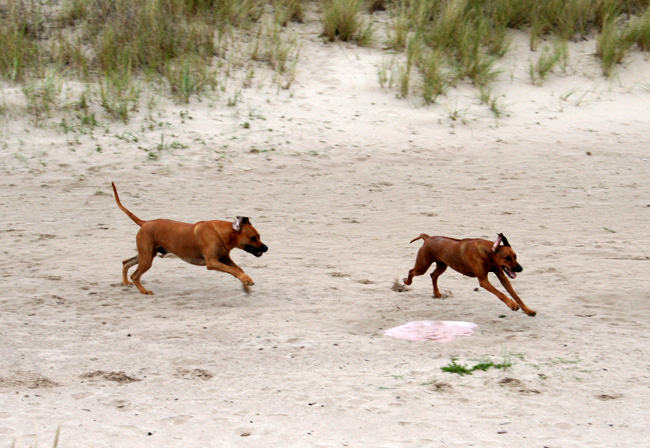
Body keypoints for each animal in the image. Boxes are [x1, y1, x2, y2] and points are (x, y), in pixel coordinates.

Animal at [111, 182, 266, 294]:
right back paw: (144, 291)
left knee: (126, 262)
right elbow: (234, 270)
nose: (266, 248)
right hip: (147, 258)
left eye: (259, 236)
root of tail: (145, 222)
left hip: (146, 254)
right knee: (135, 275)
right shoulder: (212, 262)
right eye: (253, 238)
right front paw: (246, 280)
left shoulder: (224, 258)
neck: (222, 233)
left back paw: (125, 282)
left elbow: (238, 269)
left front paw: (245, 283)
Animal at [402, 233, 536, 316]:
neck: (487, 253)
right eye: (507, 258)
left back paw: (437, 293)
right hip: (422, 265)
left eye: (515, 256)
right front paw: (512, 304)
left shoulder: (502, 275)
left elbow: (515, 294)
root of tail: (428, 238)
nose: (520, 268)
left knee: (433, 275)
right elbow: (500, 293)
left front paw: (528, 310)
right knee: (412, 271)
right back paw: (407, 282)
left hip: (443, 265)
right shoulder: (483, 281)